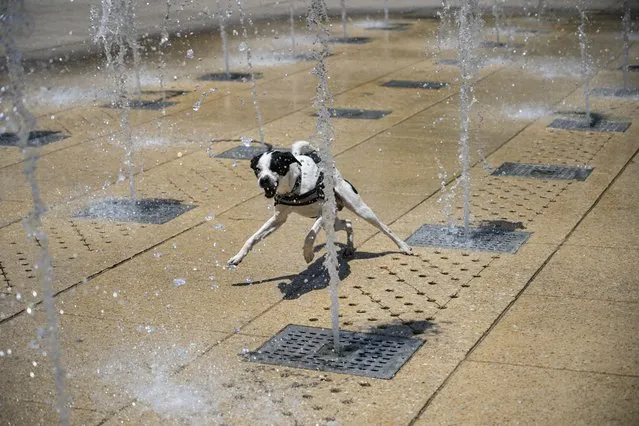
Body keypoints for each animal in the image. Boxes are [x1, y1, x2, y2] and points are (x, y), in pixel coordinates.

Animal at [228, 141, 412, 264]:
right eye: (257, 170)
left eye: (276, 167)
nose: (264, 180)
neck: (295, 186)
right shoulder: (278, 219)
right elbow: (252, 238)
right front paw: (238, 257)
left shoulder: (324, 211)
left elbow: (310, 235)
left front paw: (308, 254)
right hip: (333, 221)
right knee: (348, 223)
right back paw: (349, 248)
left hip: (359, 209)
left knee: (384, 228)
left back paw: (404, 246)